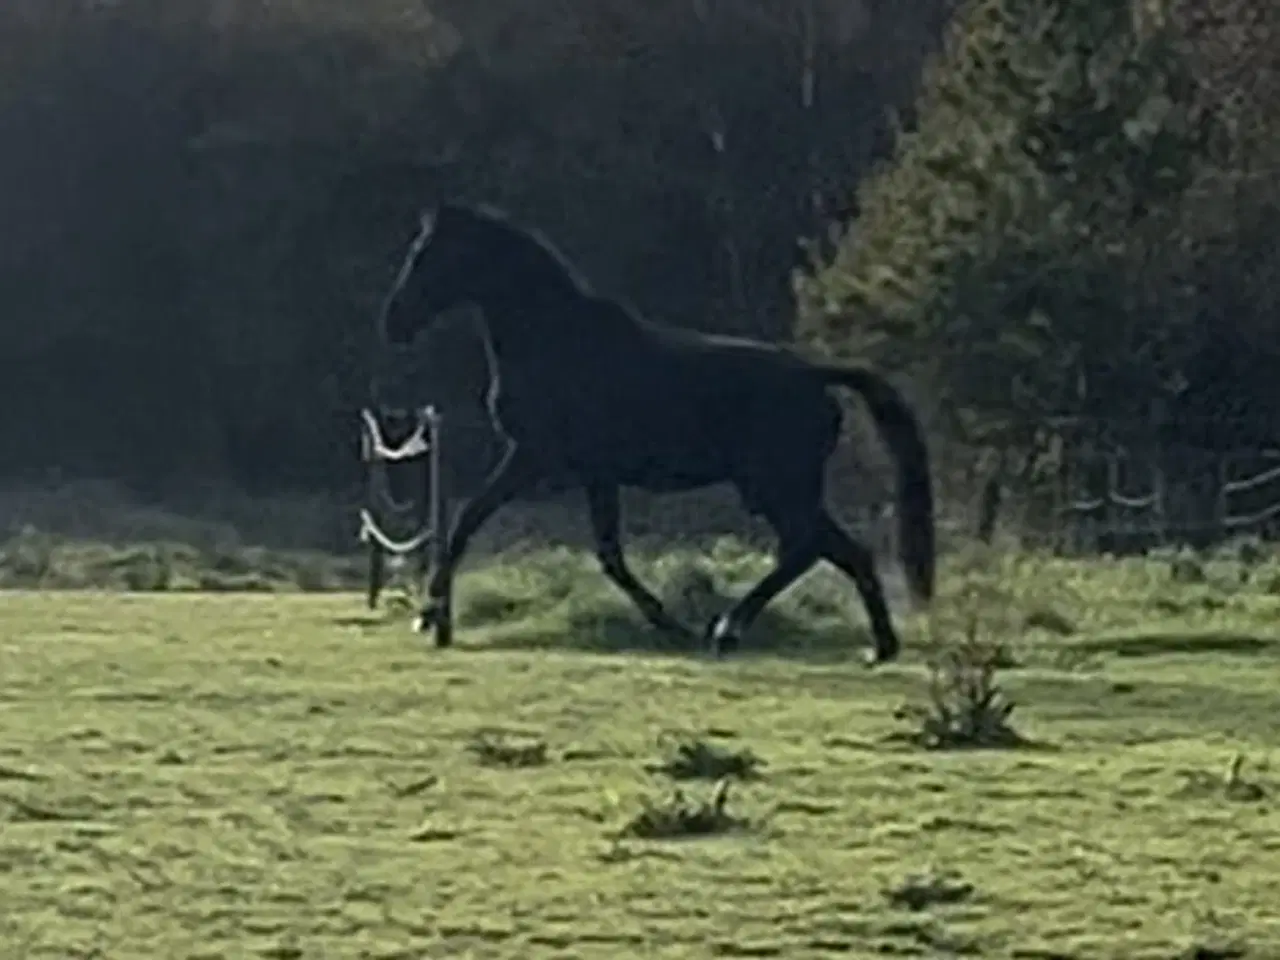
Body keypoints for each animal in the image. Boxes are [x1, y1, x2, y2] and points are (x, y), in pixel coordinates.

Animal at [371, 203, 931, 665]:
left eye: (429, 256)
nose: (394, 321)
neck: (555, 340)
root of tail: (815, 377)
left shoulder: (535, 457)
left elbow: (470, 520)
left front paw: (429, 614)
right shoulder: (591, 473)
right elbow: (605, 554)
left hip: (778, 487)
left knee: (810, 547)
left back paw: (729, 629)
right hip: (781, 489)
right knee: (839, 550)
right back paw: (879, 647)